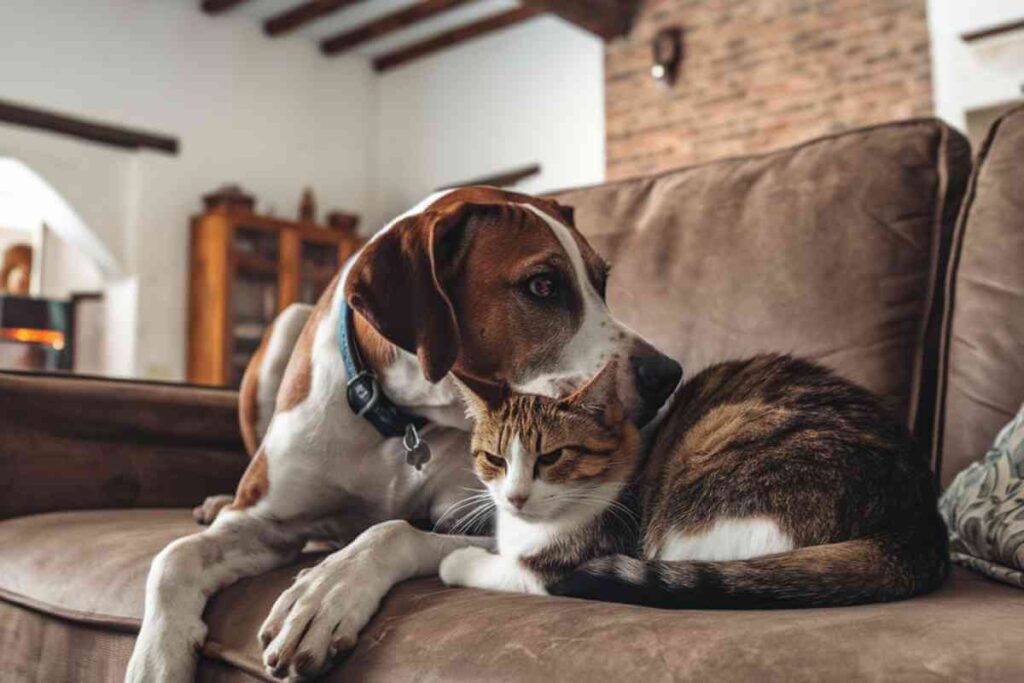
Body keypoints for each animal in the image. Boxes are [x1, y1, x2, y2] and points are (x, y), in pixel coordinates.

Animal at [123, 188, 679, 683]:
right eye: (542, 285)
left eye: (601, 284)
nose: (668, 373)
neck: (405, 417)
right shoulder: (264, 522)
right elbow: (173, 558)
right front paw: (154, 662)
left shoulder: (487, 518)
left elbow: (394, 530)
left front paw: (325, 591)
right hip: (284, 321)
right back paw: (216, 501)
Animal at [440, 356, 950, 606]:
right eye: (494, 459)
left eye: (552, 457)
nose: (516, 497)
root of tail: (917, 521)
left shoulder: (576, 556)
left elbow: (506, 568)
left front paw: (457, 561)